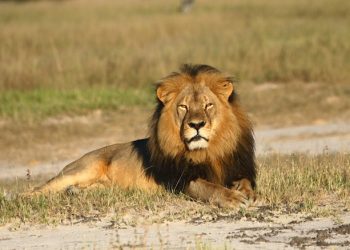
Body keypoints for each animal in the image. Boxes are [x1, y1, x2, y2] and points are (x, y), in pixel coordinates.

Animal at [32, 64, 258, 207]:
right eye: (183, 107)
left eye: (208, 105)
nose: (196, 125)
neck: (209, 151)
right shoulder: (180, 181)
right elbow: (209, 187)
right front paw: (233, 198)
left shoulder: (237, 168)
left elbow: (245, 181)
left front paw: (247, 192)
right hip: (81, 169)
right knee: (37, 190)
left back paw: (74, 192)